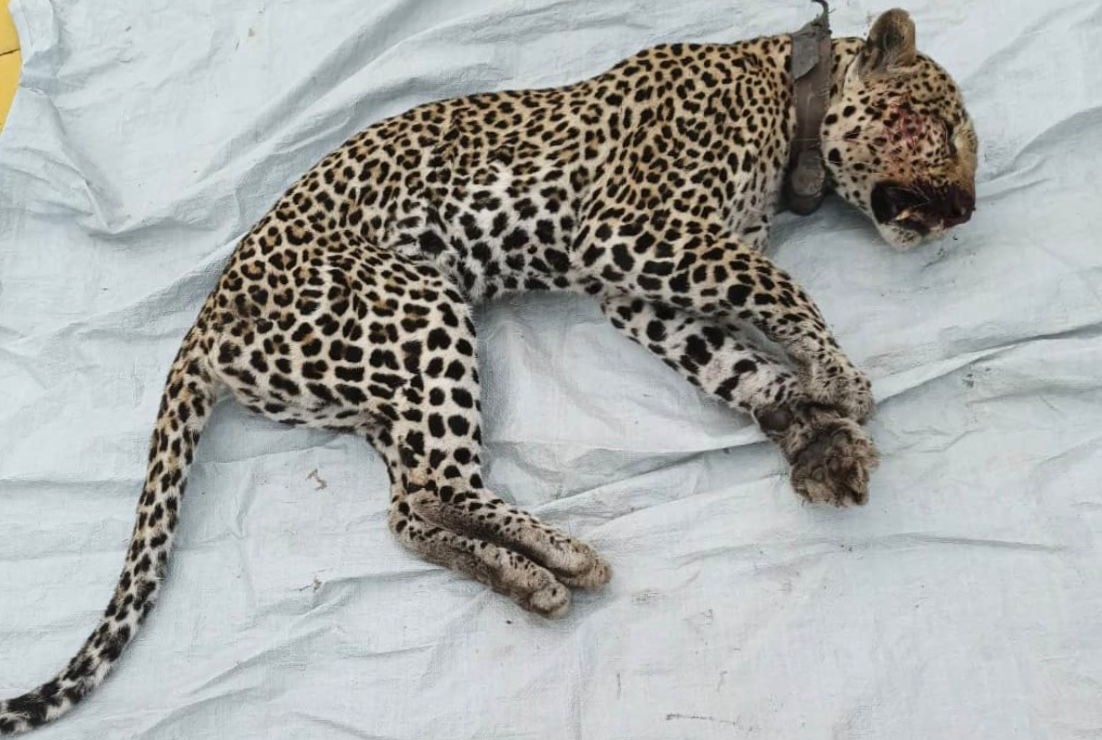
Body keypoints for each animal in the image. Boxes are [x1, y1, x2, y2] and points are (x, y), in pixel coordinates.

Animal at [0, 6, 976, 734]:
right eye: (940, 130)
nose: (968, 210)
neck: (788, 98)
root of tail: (205, 319)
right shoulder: (637, 235)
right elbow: (779, 289)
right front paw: (839, 377)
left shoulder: (638, 289)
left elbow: (736, 365)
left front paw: (815, 432)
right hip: (421, 306)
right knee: (440, 486)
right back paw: (563, 555)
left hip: (378, 391)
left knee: (410, 509)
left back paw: (523, 576)